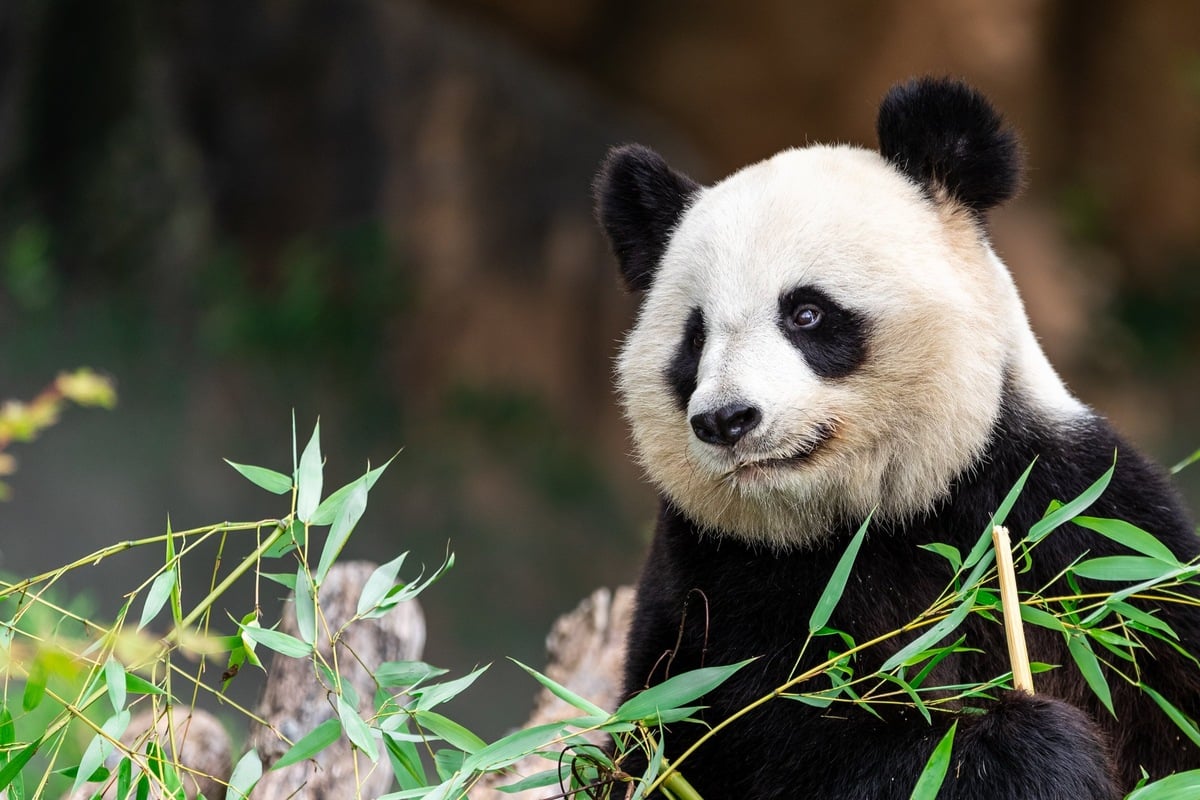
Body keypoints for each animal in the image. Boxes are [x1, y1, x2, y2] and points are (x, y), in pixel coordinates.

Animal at [593, 77, 1200, 799]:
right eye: (695, 338)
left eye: (806, 313)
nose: (725, 419)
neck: (873, 514)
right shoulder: (718, 573)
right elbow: (745, 738)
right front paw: (1029, 755)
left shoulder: (1074, 517)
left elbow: (1161, 668)